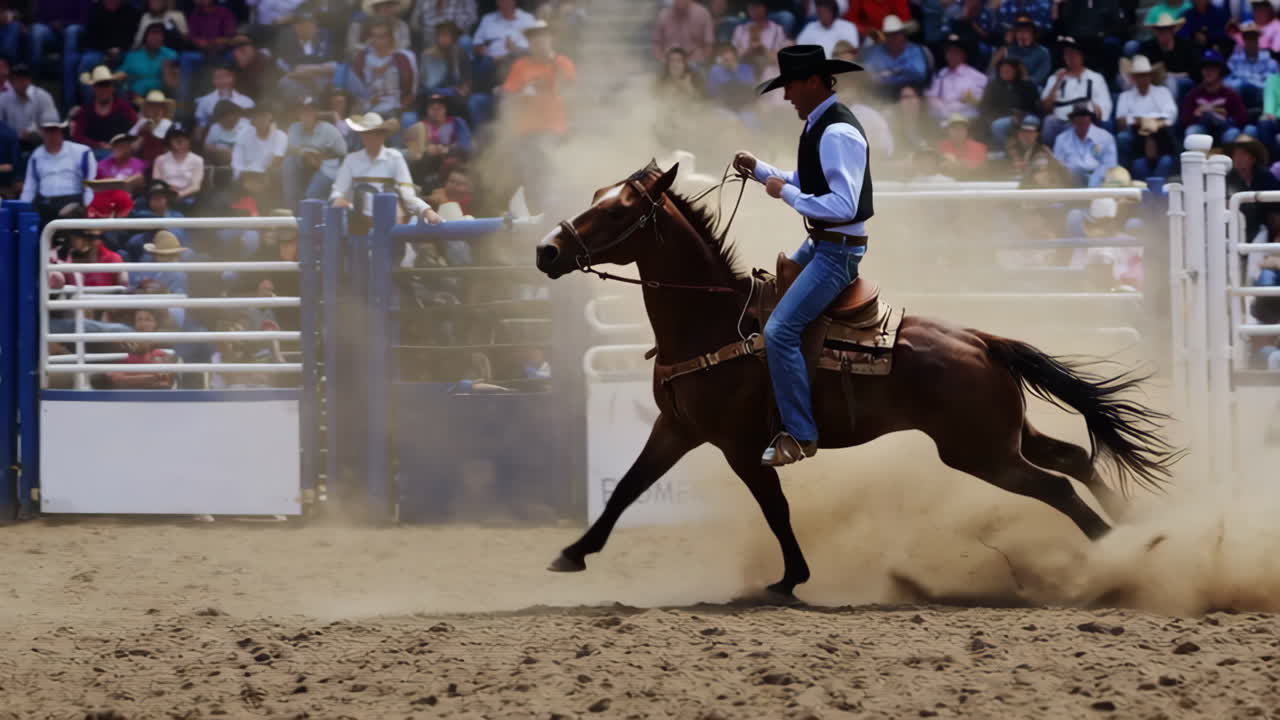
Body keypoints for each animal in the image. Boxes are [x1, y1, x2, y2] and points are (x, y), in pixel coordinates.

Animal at [533, 160, 1181, 602]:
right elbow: (626, 488)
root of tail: (982, 341)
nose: (546, 251)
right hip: (1005, 436)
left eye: (617, 210)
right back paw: (1135, 530)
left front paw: (791, 578)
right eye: (594, 197)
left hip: (981, 453)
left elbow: (775, 509)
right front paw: (573, 553)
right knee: (1076, 458)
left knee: (1059, 488)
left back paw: (1115, 561)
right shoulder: (677, 428)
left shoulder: (741, 446)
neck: (713, 321)